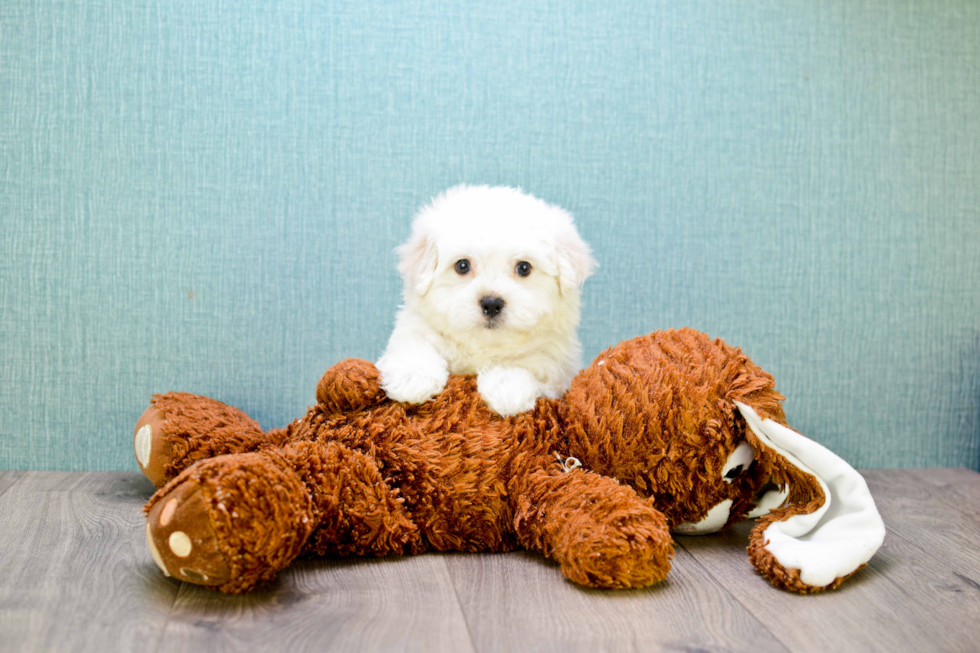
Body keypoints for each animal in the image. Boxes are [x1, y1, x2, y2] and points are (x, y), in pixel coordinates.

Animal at [378, 183, 596, 416]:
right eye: (462, 265)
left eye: (524, 267)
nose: (491, 303)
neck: (482, 344)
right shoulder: (416, 325)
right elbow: (414, 344)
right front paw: (412, 377)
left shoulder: (554, 361)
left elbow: (524, 362)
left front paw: (507, 387)